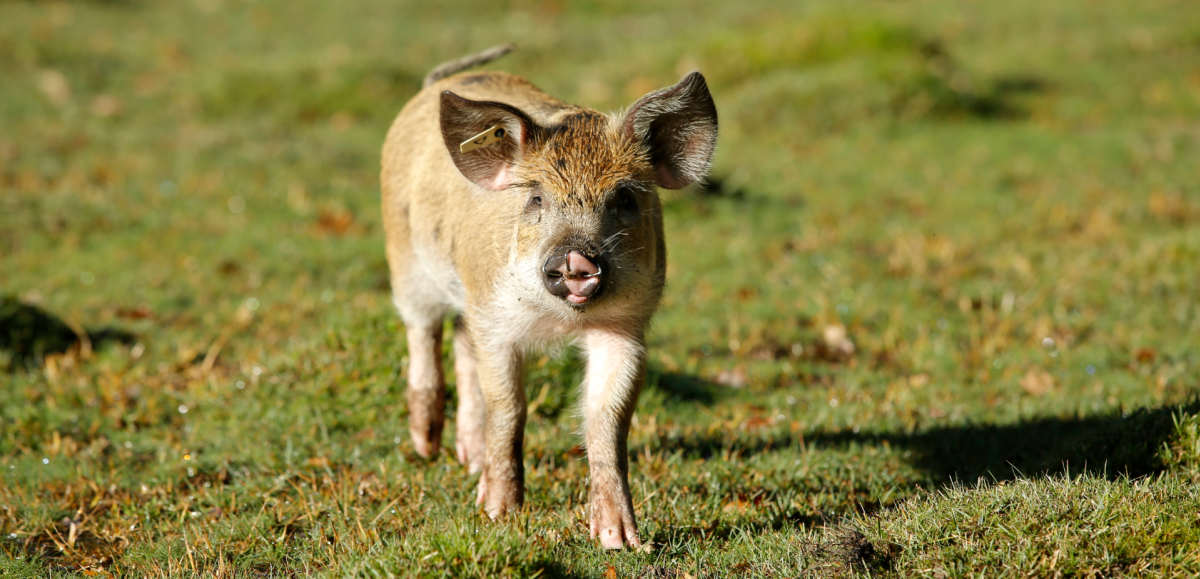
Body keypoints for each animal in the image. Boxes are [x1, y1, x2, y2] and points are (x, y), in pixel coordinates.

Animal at [380, 45, 717, 549]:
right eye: (537, 198)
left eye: (623, 197)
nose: (576, 257)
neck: (561, 321)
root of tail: (431, 88)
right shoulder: (495, 319)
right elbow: (509, 409)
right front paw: (498, 516)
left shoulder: (626, 328)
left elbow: (607, 419)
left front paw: (621, 541)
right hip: (406, 262)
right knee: (424, 334)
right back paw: (426, 448)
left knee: (461, 344)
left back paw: (469, 460)